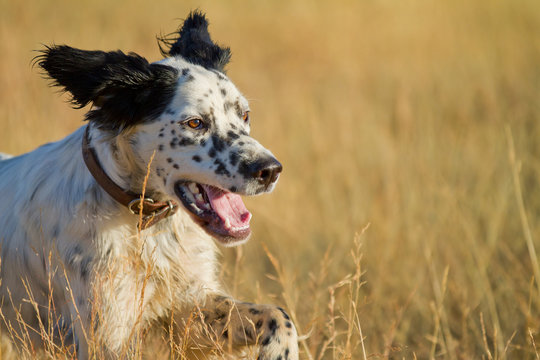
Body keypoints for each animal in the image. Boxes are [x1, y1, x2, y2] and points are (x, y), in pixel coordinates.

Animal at [0, 11, 300, 360]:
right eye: (195, 123)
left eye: (245, 115)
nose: (270, 170)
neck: (145, 225)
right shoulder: (105, 333)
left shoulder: (187, 303)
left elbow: (278, 314)